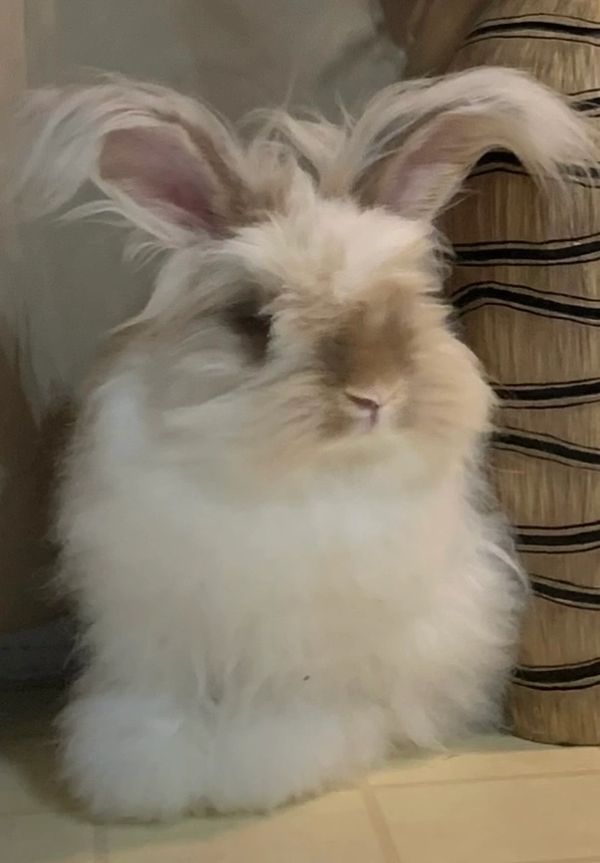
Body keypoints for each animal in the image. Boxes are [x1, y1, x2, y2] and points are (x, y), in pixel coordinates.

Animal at [10, 67, 595, 820]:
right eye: (255, 321)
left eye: (405, 309)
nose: (374, 396)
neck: (280, 481)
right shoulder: (156, 636)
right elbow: (155, 709)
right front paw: (141, 776)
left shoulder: (299, 652)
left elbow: (285, 716)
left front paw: (261, 772)